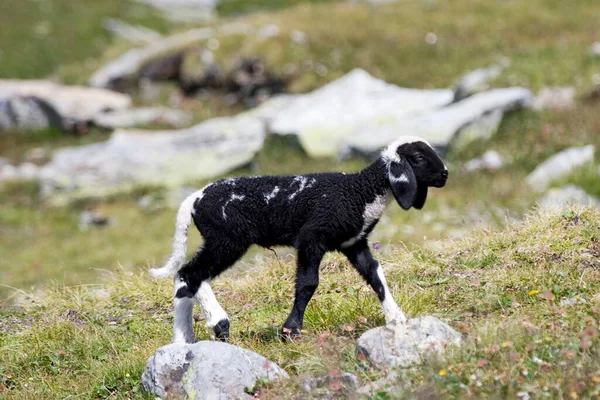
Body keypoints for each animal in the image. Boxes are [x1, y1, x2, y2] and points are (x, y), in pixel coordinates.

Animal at [150, 136, 450, 342]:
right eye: (418, 158)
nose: (445, 174)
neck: (360, 191)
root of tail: (195, 199)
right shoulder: (311, 238)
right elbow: (308, 282)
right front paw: (290, 330)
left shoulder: (354, 243)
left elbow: (375, 274)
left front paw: (396, 319)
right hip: (228, 238)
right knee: (191, 273)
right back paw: (218, 323)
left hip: (220, 239)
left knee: (185, 276)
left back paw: (183, 339)